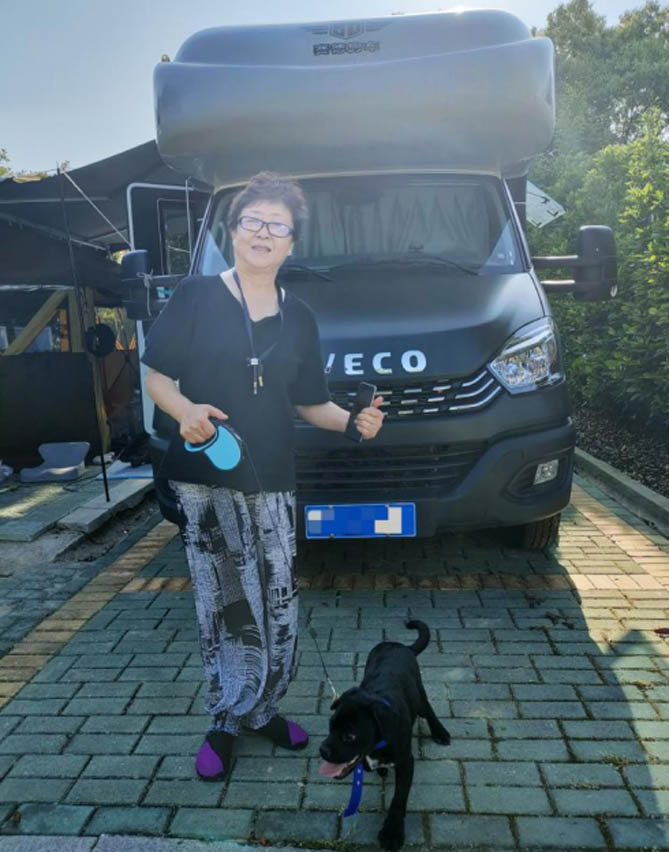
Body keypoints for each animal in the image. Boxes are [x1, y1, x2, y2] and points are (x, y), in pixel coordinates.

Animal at [319, 619, 450, 851]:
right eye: (331, 726)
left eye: (350, 735)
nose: (322, 750)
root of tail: (399, 645)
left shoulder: (406, 763)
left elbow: (399, 798)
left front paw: (392, 833)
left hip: (418, 692)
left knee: (428, 709)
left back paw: (440, 732)